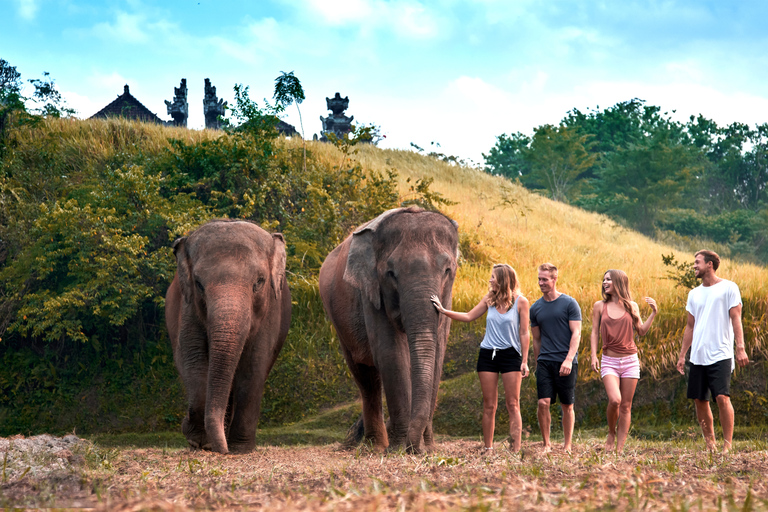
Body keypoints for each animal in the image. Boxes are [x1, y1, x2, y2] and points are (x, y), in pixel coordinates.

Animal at [165, 218, 292, 454]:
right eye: (199, 284)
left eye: (259, 282)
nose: (222, 449)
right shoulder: (188, 307)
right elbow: (192, 359)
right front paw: (199, 440)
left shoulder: (272, 310)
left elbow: (254, 365)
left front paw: (240, 448)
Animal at [316, 205, 456, 452]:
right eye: (391, 274)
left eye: (447, 270)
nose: (415, 448)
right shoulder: (372, 292)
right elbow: (392, 354)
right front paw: (400, 448)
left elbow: (438, 353)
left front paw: (428, 449)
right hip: (338, 320)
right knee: (366, 376)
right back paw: (375, 446)